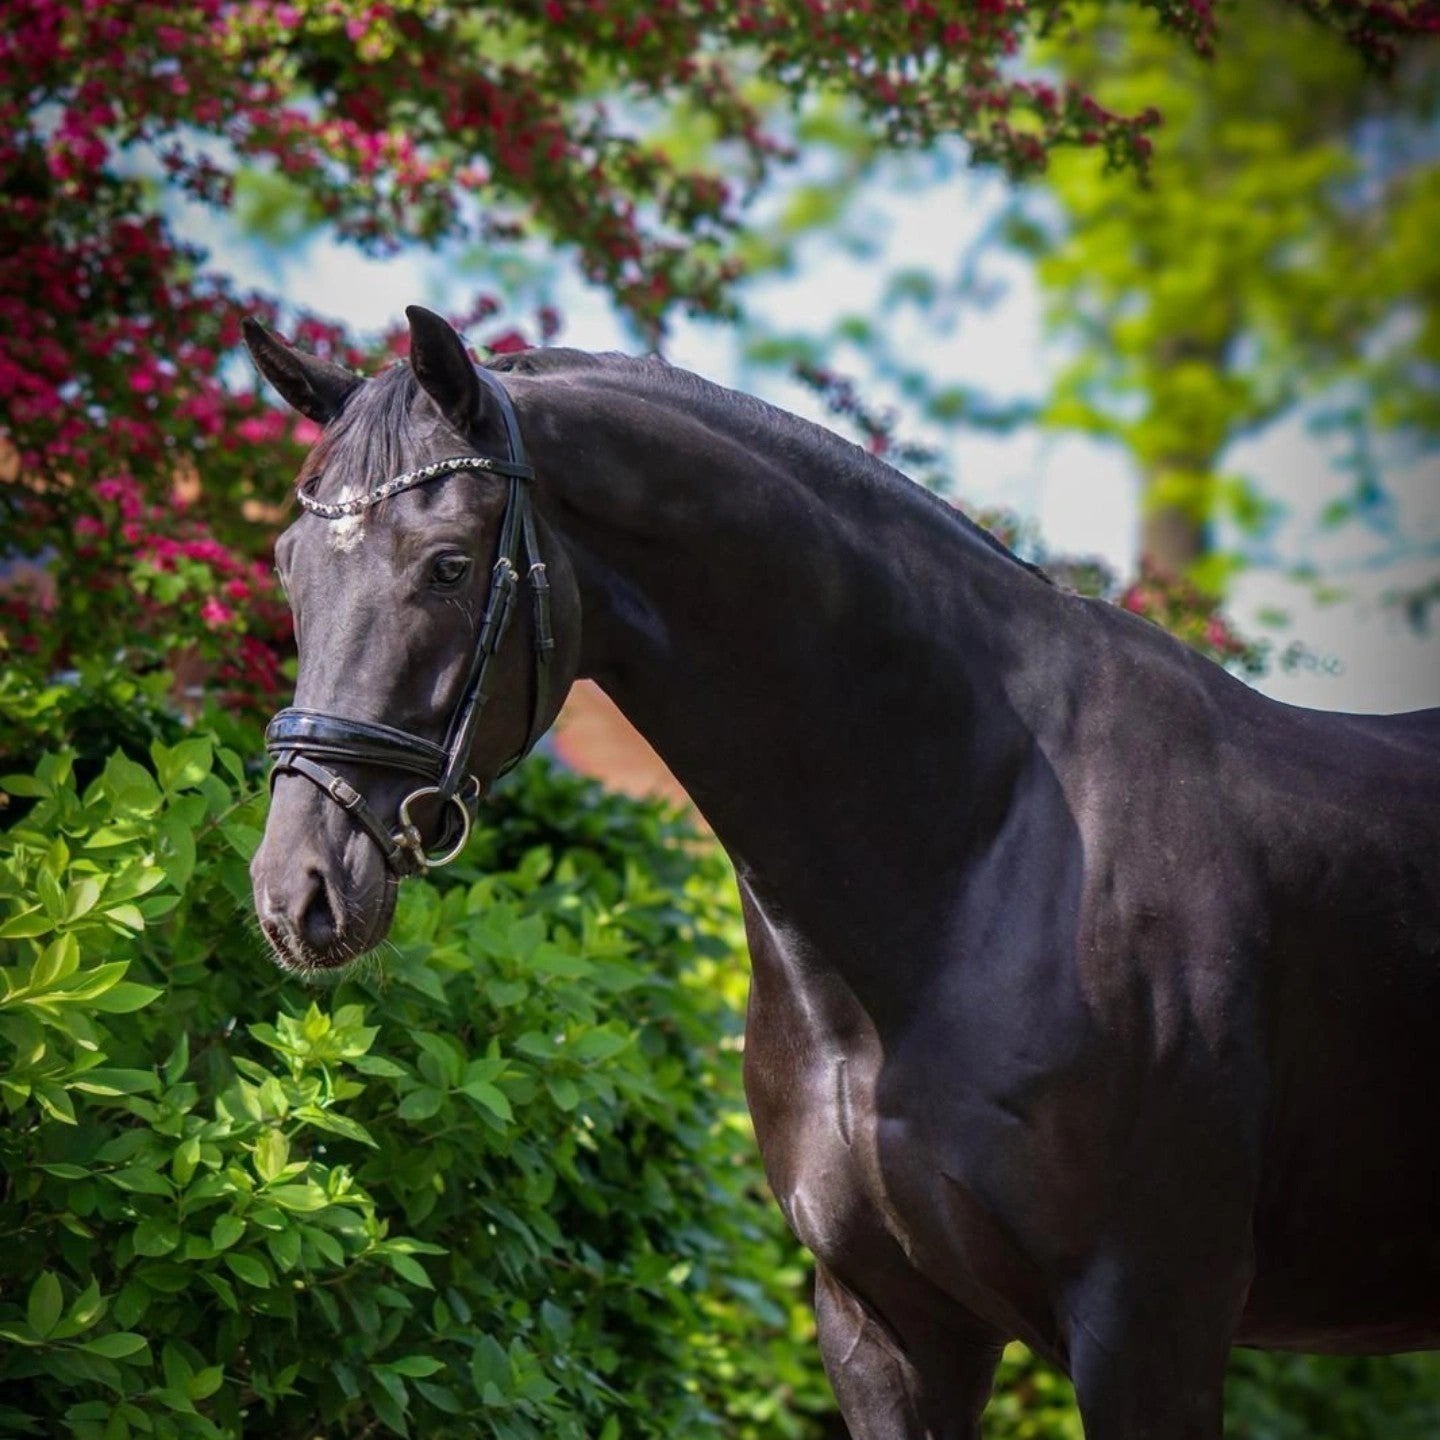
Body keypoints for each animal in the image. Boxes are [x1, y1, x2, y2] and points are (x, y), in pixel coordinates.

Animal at [244, 306, 1440, 1439]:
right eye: (290, 566)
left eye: (448, 564)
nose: (296, 891)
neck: (977, 865)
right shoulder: (885, 1325)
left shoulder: (1150, 1330)